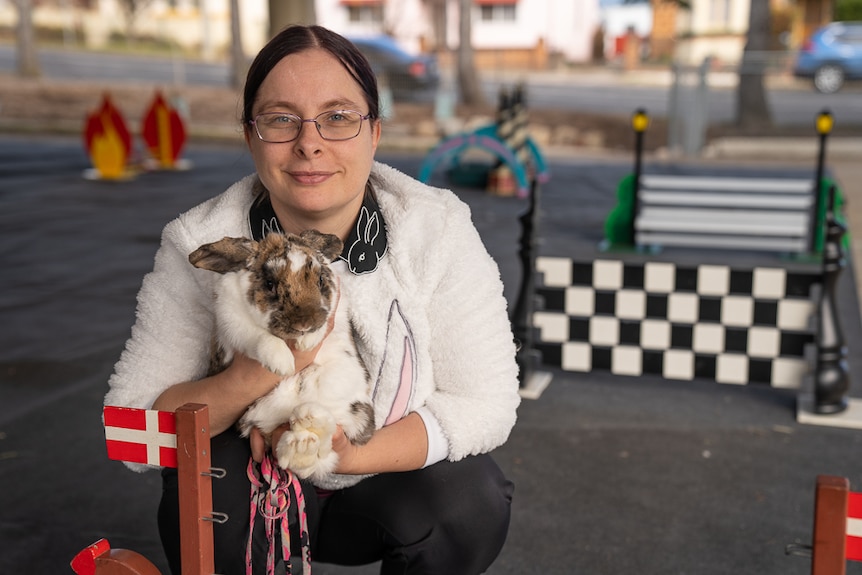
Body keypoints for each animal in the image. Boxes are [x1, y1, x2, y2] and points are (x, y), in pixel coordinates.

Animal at [189, 230, 374, 482]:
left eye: (320, 280)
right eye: (270, 283)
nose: (304, 324)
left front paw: (308, 342)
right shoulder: (232, 322)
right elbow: (259, 337)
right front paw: (282, 364)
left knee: (323, 450)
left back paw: (308, 424)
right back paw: (302, 441)